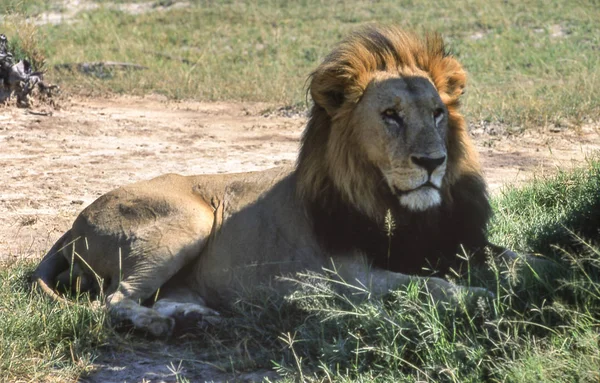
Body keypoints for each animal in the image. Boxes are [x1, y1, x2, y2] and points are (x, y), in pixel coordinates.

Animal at [35, 26, 516, 336]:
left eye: (437, 113)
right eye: (390, 115)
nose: (433, 161)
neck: (404, 210)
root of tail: (73, 225)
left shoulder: (457, 241)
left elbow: (514, 256)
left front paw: (527, 276)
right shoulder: (349, 278)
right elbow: (431, 285)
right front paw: (483, 297)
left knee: (155, 295)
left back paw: (195, 318)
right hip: (188, 221)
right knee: (113, 301)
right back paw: (159, 325)